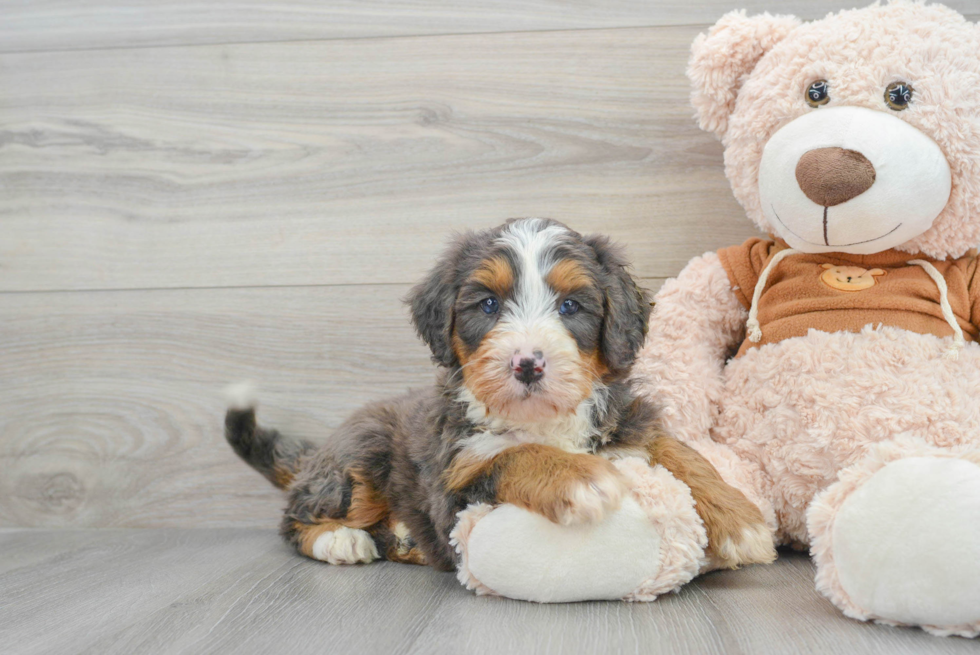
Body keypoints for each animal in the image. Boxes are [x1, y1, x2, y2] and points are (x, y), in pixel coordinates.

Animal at [226, 218, 768, 572]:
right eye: (488, 305)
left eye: (571, 306)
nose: (527, 364)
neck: (542, 418)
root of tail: (321, 452)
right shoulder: (456, 481)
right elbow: (515, 455)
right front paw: (580, 478)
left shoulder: (627, 422)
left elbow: (681, 452)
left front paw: (740, 520)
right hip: (361, 457)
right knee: (297, 515)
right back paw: (342, 541)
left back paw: (400, 538)